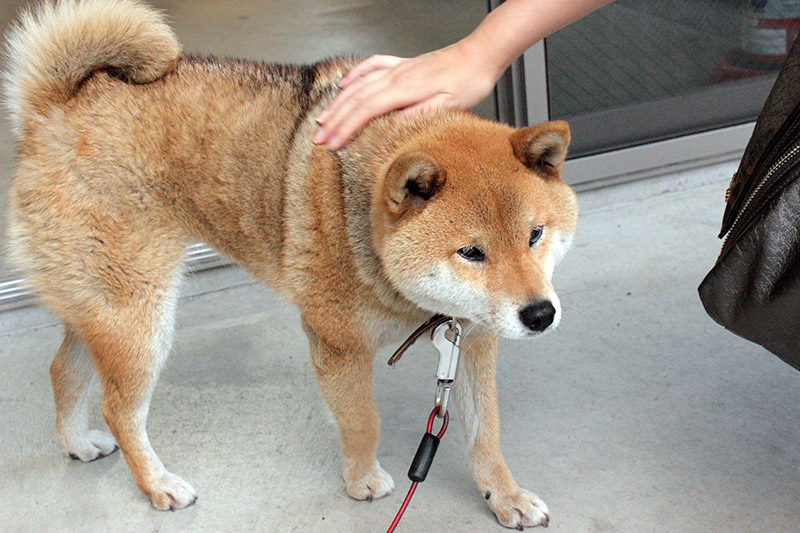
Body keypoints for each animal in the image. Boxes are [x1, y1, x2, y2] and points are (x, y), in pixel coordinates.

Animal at [3, 0, 580, 528]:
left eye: (534, 236)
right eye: (471, 252)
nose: (540, 314)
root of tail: (51, 106)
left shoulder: (473, 341)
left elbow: (486, 434)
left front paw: (505, 496)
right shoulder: (337, 344)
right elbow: (363, 421)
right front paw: (361, 480)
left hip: (105, 308)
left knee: (63, 371)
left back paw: (78, 443)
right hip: (140, 319)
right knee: (119, 408)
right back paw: (158, 485)